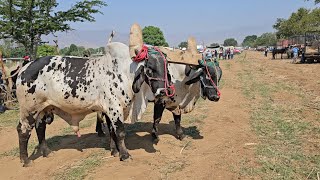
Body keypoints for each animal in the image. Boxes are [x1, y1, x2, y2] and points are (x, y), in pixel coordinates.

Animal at [15, 41, 171, 167]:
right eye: (150, 69)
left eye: (166, 69)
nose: (163, 91)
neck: (125, 72)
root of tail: (25, 68)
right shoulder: (115, 109)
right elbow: (120, 133)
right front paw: (125, 155)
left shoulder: (109, 110)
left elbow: (112, 132)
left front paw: (114, 151)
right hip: (29, 109)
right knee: (23, 130)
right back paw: (26, 160)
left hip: (43, 109)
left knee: (40, 128)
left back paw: (47, 152)